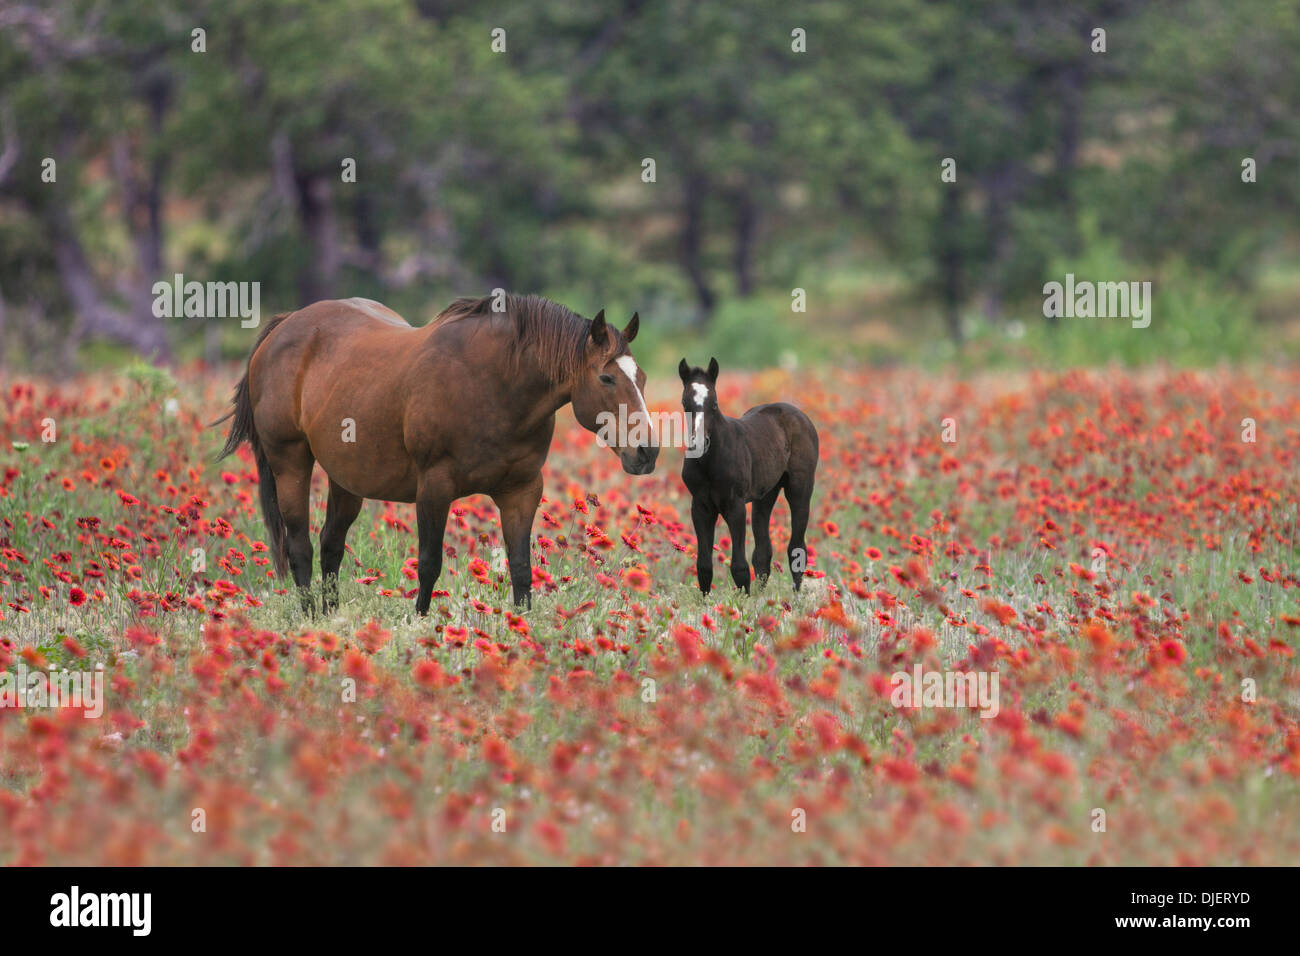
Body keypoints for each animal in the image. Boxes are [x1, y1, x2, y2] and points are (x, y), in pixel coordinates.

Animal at [219, 291, 660, 616]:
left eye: (641, 377)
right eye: (606, 377)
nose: (647, 452)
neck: (495, 384)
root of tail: (285, 325)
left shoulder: (521, 492)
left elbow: (521, 568)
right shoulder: (434, 488)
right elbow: (429, 563)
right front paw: (420, 624)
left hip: (347, 478)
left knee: (331, 544)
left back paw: (331, 616)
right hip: (290, 463)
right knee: (300, 547)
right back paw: (312, 619)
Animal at [681, 358, 811, 595]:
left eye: (714, 404)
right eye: (685, 403)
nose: (699, 443)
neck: (710, 461)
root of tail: (796, 412)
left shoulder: (736, 506)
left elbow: (739, 567)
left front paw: (743, 603)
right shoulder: (701, 507)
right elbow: (703, 566)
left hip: (800, 490)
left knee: (797, 548)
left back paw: (796, 598)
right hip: (765, 494)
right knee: (762, 552)